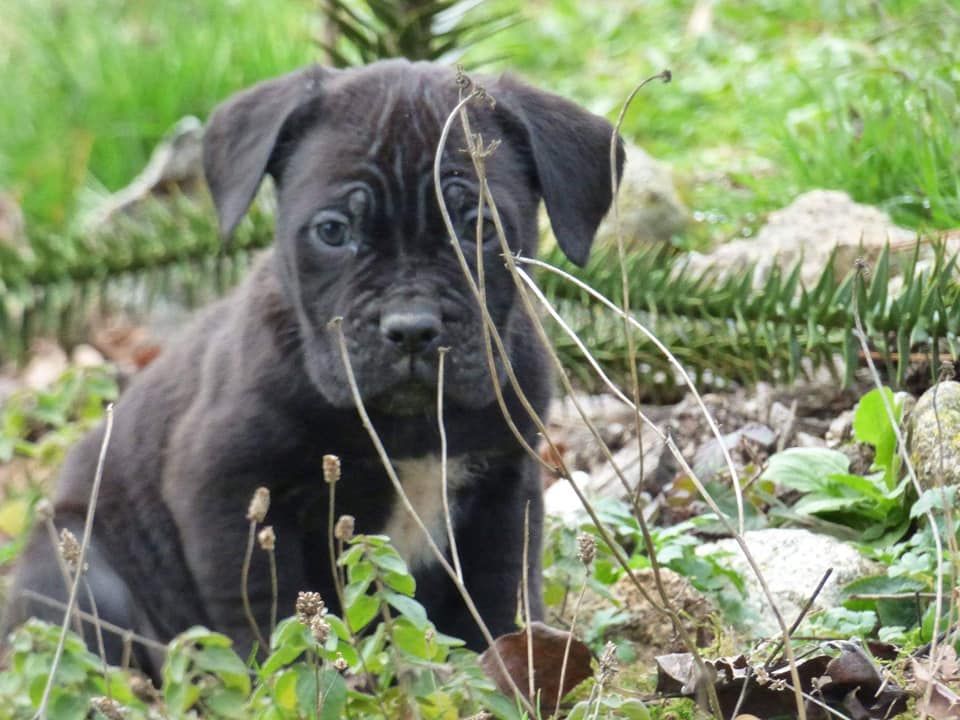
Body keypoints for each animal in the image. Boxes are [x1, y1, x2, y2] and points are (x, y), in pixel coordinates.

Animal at [5, 59, 624, 676]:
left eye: (481, 228)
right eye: (333, 231)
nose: (412, 328)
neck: (411, 424)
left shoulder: (504, 487)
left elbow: (500, 591)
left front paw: (508, 663)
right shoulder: (229, 491)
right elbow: (268, 609)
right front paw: (296, 673)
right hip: (80, 571)